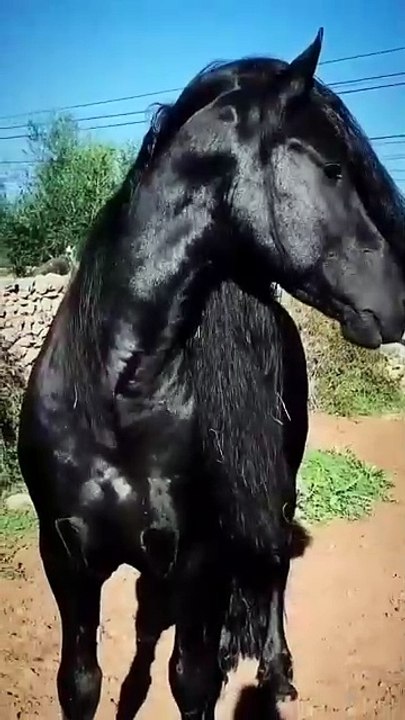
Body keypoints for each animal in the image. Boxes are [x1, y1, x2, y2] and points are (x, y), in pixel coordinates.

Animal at [17, 27, 405, 720]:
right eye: (334, 169)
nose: (402, 301)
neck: (117, 401)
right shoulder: (65, 563)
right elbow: (82, 682)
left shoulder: (195, 560)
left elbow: (190, 679)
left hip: (280, 484)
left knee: (272, 566)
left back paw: (275, 669)